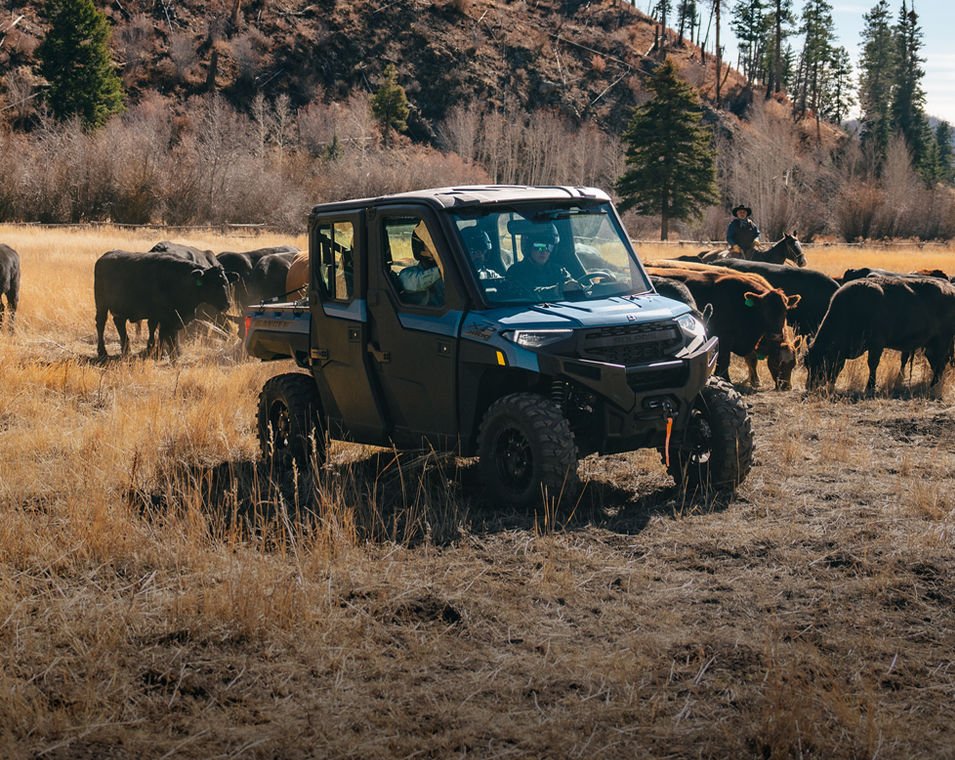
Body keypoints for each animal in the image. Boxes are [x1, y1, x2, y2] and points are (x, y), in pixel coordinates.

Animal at [95, 249, 235, 356]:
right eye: (212, 284)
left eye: (226, 282)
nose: (227, 304)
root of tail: (105, 256)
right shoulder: (165, 317)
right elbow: (165, 334)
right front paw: (164, 353)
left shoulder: (173, 317)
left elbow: (168, 334)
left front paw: (171, 351)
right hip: (101, 305)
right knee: (101, 324)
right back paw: (102, 351)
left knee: (119, 323)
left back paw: (126, 350)